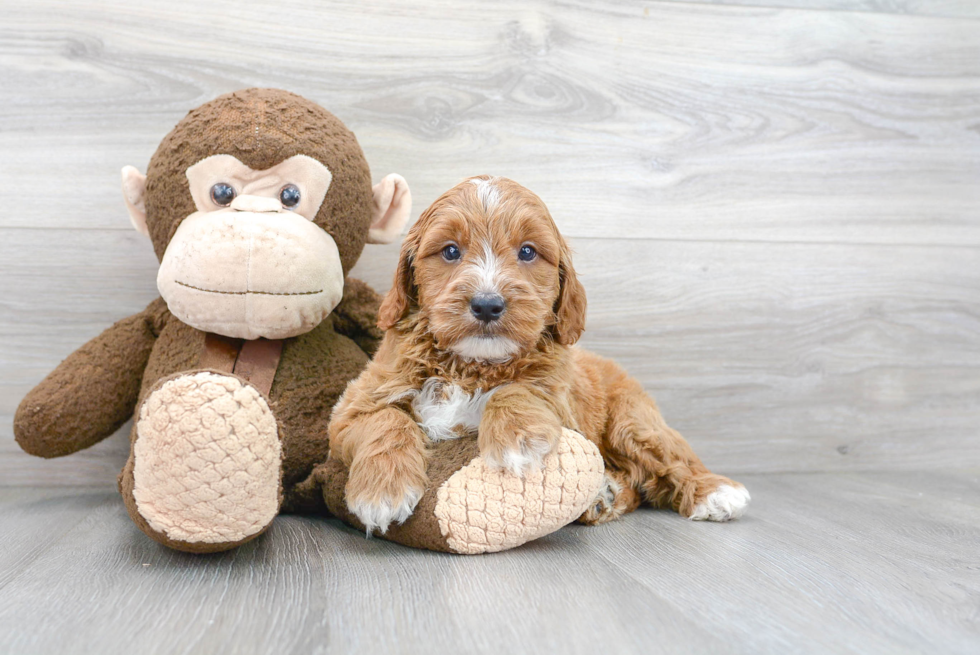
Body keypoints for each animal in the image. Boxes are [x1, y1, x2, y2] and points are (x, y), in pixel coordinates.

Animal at [330, 177, 752, 536]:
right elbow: (385, 419)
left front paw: (517, 440)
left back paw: (714, 492)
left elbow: (518, 388)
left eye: (528, 252)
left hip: (633, 422)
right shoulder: (353, 406)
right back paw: (606, 494)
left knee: (671, 457)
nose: (487, 304)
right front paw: (382, 490)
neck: (471, 365)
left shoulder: (564, 404)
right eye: (450, 251)